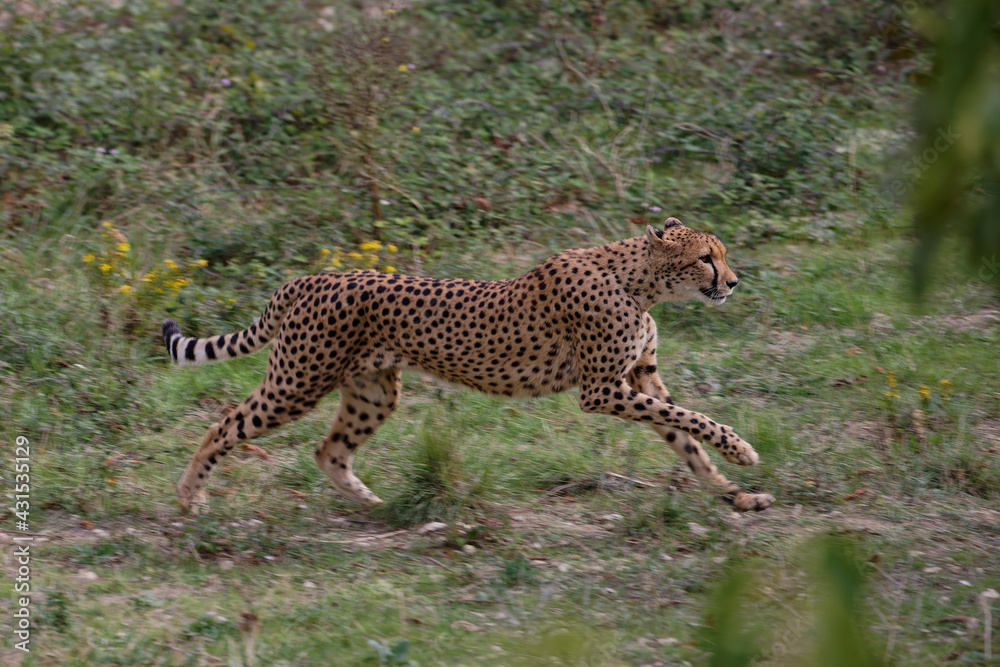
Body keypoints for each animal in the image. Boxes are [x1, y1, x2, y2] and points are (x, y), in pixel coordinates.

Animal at [162, 222, 772, 516]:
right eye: (706, 258)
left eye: (721, 254)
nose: (733, 281)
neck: (638, 282)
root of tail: (314, 276)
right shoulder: (601, 390)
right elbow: (692, 419)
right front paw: (743, 450)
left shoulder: (640, 377)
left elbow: (686, 435)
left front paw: (735, 494)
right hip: (297, 382)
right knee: (223, 425)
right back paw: (190, 498)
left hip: (372, 392)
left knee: (329, 450)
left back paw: (379, 507)